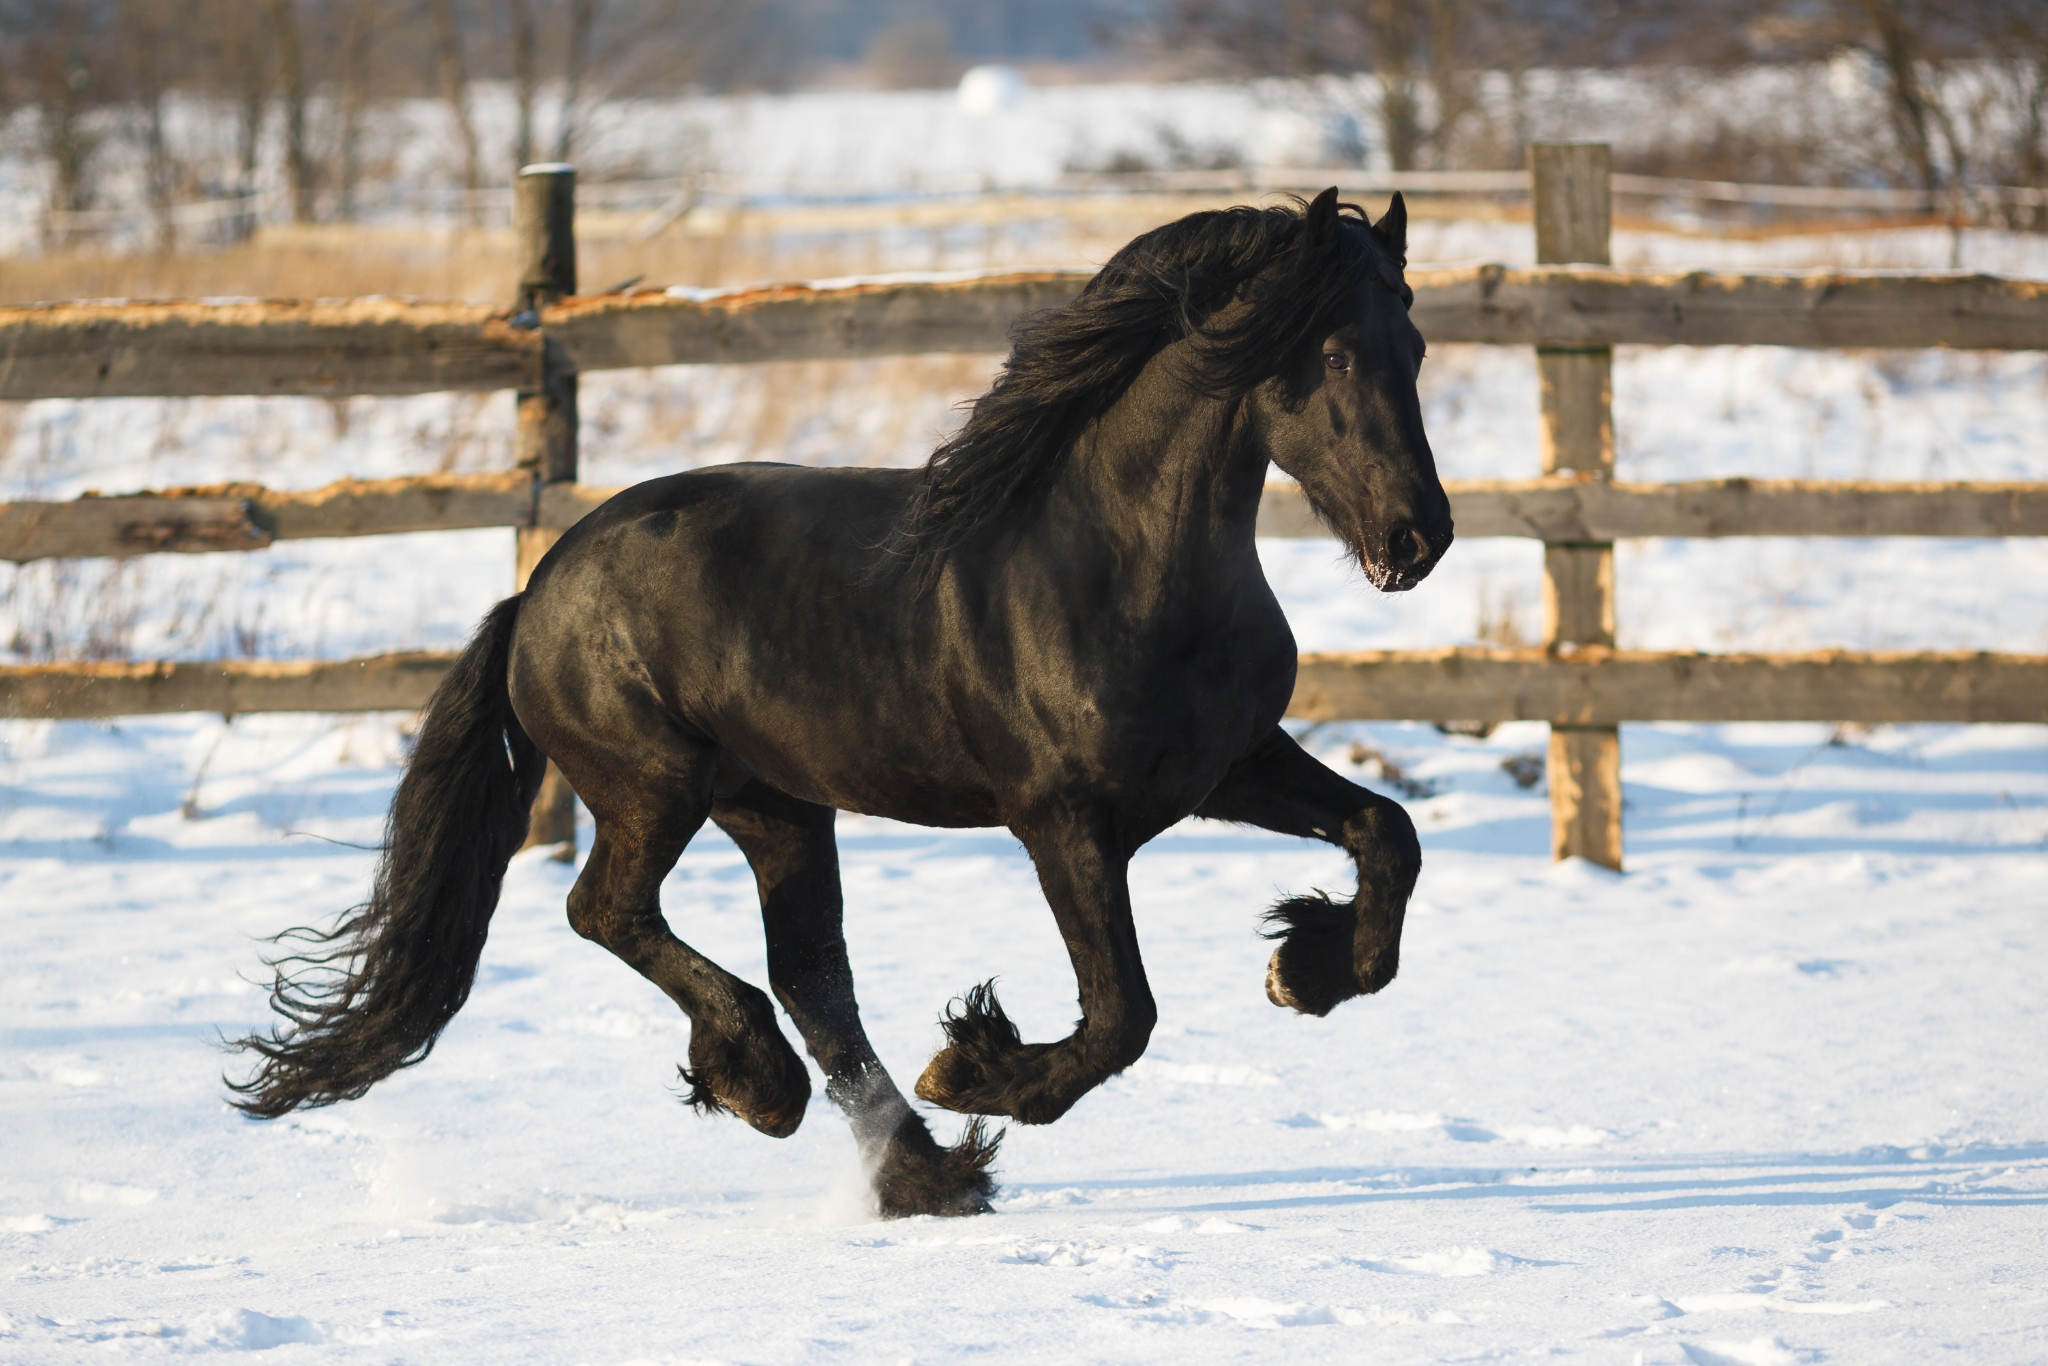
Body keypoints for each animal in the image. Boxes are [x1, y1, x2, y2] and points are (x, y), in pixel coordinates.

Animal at [229, 187, 1454, 1219]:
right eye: (1333, 352)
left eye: (1416, 347)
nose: (1418, 540)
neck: (1118, 567)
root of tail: (537, 588)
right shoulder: (1061, 818)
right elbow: (1122, 1014)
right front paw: (978, 1068)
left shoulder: (1228, 764)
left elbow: (1386, 835)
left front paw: (1304, 970)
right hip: (654, 787)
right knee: (610, 913)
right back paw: (766, 1084)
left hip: (777, 806)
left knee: (812, 978)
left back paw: (919, 1172)